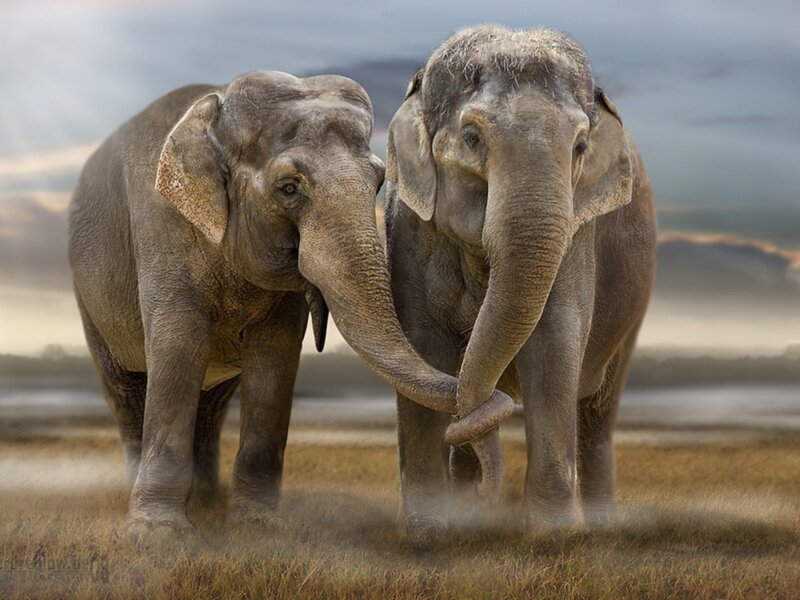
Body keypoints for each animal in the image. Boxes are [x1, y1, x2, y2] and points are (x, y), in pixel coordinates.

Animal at [68, 71, 512, 540]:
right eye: (288, 188)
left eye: (378, 181)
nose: (484, 492)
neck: (216, 110)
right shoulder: (161, 226)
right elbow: (178, 346)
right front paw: (157, 536)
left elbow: (275, 358)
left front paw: (257, 527)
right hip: (89, 297)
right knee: (125, 388)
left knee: (212, 402)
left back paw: (207, 503)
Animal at [385, 26, 657, 541]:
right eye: (472, 138)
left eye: (580, 147)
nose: (486, 493)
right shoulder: (409, 228)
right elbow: (423, 346)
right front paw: (429, 536)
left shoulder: (577, 234)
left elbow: (554, 344)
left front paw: (553, 539)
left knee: (598, 413)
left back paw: (602, 529)